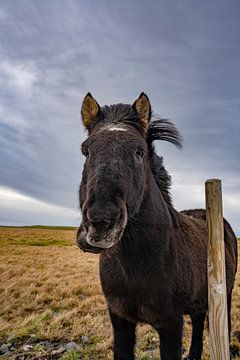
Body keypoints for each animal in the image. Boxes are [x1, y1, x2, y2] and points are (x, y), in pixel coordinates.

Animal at [76, 93, 236, 360]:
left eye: (139, 151)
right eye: (86, 150)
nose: (101, 222)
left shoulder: (170, 324)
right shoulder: (120, 319)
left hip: (225, 293)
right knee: (198, 321)